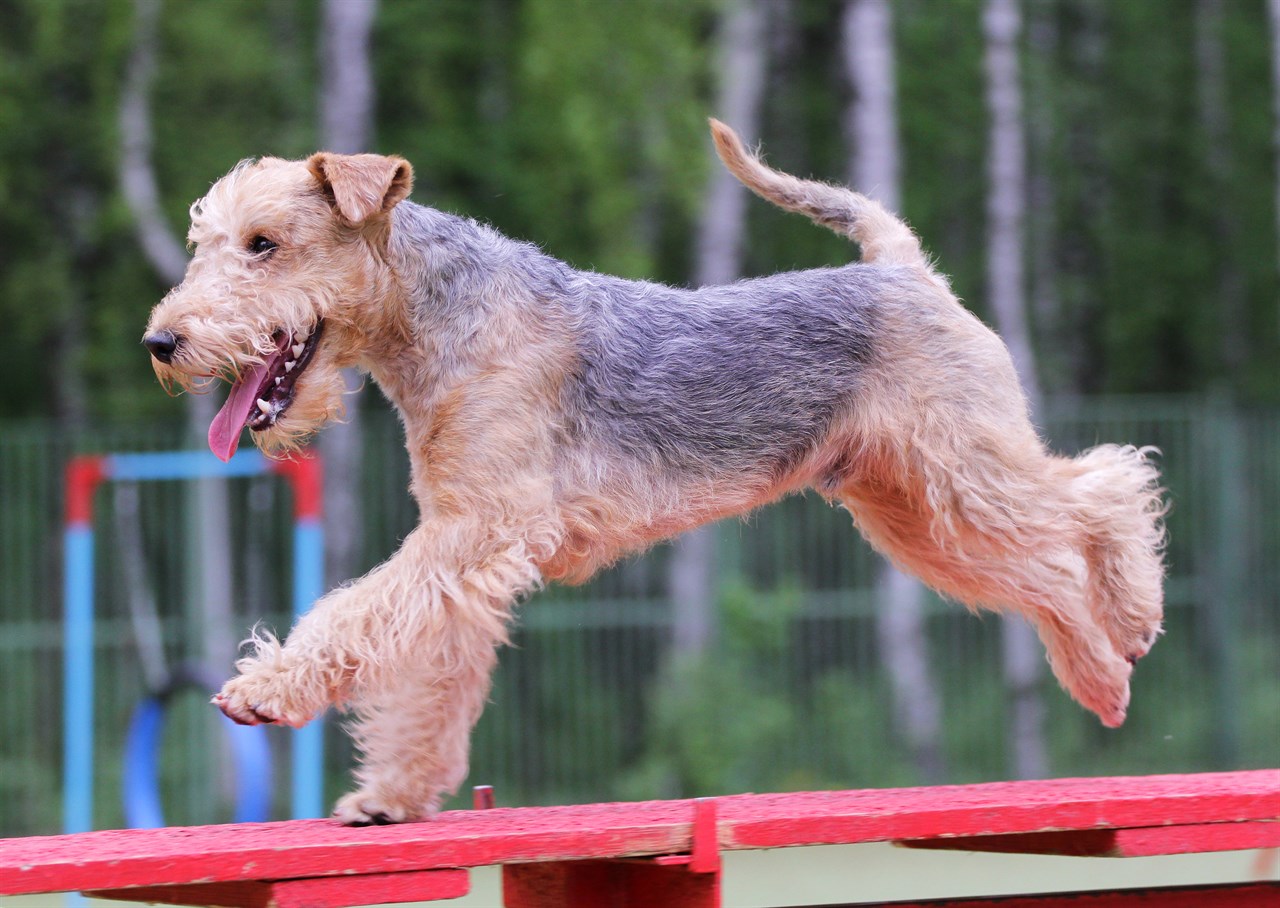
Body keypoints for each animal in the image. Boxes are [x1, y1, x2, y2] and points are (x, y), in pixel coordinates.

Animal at [142, 118, 1172, 819]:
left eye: (264, 243)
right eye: (202, 244)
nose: (162, 341)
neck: (438, 319)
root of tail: (902, 267)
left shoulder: (478, 531)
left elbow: (353, 614)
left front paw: (265, 690)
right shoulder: (463, 542)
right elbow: (426, 675)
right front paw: (392, 797)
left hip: (962, 479)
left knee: (1105, 489)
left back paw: (1126, 630)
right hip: (913, 514)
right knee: (1047, 571)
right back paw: (1103, 674)